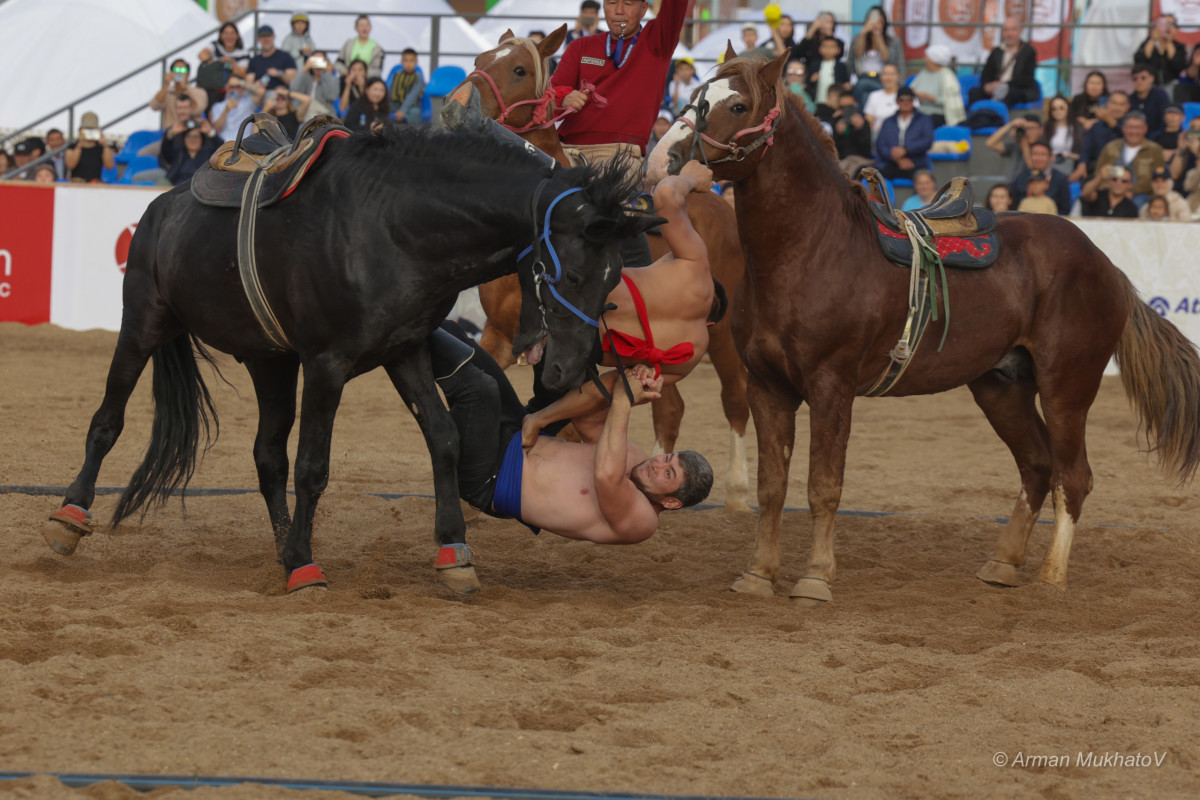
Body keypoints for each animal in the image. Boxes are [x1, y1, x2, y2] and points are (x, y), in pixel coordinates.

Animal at [44, 128, 657, 594]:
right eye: (570, 274)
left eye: (613, 283)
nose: (566, 371)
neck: (392, 229)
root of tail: (162, 206)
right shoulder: (326, 366)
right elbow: (313, 466)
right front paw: (307, 567)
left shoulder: (405, 352)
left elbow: (444, 439)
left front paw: (453, 551)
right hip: (142, 325)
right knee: (107, 421)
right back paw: (70, 516)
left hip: (270, 363)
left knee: (267, 456)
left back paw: (283, 546)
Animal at [453, 28, 753, 513]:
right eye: (480, 59)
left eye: (518, 69)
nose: (457, 103)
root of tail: (719, 205)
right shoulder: (499, 334)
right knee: (670, 407)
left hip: (724, 333)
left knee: (735, 399)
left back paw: (739, 493)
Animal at [648, 53, 1200, 604]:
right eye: (696, 94)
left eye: (738, 105)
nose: (662, 160)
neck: (812, 250)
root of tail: (1104, 263)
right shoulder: (768, 387)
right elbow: (772, 486)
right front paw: (760, 573)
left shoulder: (831, 387)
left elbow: (823, 485)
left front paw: (816, 577)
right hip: (1002, 387)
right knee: (1038, 466)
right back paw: (1004, 562)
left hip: (1068, 387)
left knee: (1073, 476)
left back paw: (1051, 577)